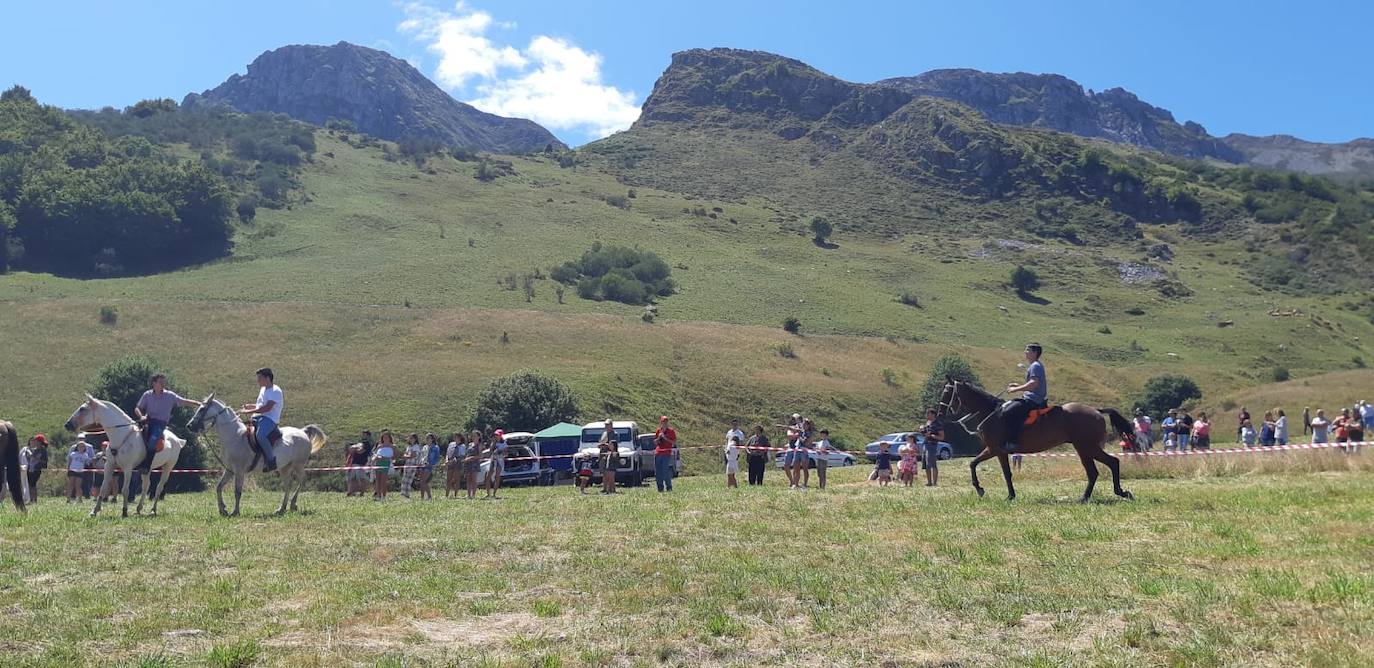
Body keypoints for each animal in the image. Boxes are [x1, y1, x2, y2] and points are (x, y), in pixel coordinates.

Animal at [184, 395, 325, 516]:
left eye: (202, 409)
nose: (189, 426)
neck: (235, 437)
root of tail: (302, 432)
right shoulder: (229, 470)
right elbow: (219, 487)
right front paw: (223, 509)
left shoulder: (239, 471)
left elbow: (237, 491)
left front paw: (235, 512)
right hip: (284, 468)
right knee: (288, 485)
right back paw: (281, 509)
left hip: (298, 465)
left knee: (302, 481)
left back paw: (293, 505)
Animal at [939, 376, 1132, 500]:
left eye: (947, 392)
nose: (941, 413)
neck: (991, 412)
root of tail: (1096, 411)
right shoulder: (995, 450)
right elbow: (982, 466)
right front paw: (1009, 495)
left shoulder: (995, 449)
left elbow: (987, 468)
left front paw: (982, 490)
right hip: (1083, 449)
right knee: (1093, 472)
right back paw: (1085, 498)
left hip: (1088, 447)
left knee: (1112, 462)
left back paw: (1120, 492)